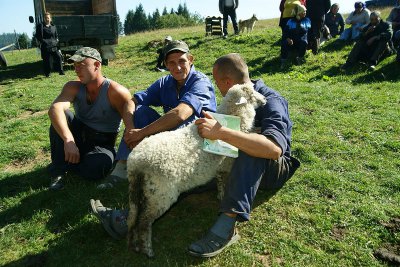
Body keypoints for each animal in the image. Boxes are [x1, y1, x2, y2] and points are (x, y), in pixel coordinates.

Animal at [126, 83, 268, 258]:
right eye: (252, 94)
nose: (265, 100)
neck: (232, 121)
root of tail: (135, 163)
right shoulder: (227, 166)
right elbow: (226, 184)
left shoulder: (220, 168)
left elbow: (220, 184)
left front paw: (220, 197)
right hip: (161, 193)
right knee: (144, 221)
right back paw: (147, 249)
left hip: (142, 190)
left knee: (133, 217)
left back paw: (133, 244)